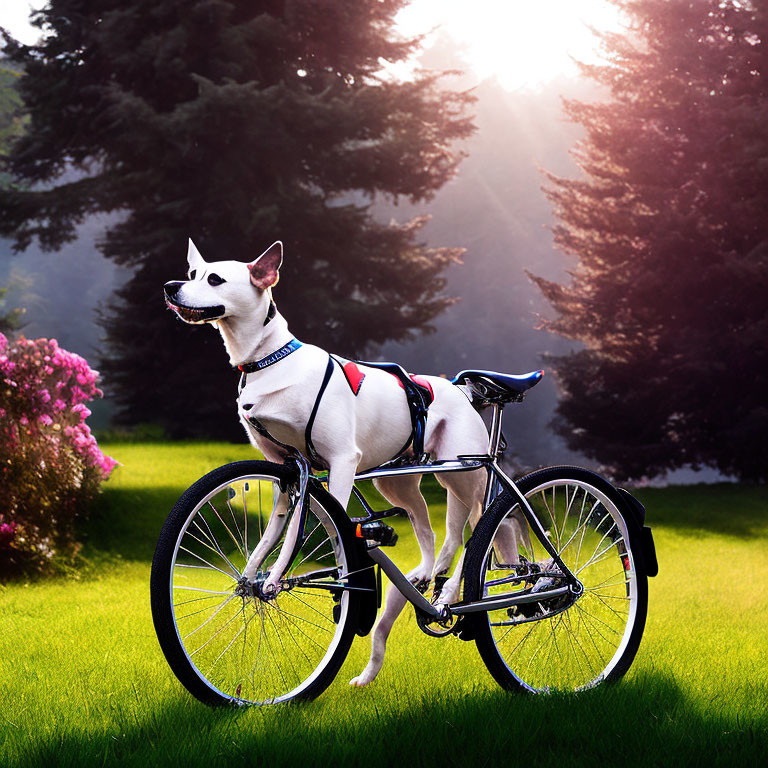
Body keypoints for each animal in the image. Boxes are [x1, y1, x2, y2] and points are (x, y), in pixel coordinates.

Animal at [163, 238, 510, 684]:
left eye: (215, 279)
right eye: (191, 274)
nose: (171, 287)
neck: (268, 359)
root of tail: (461, 392)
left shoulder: (341, 462)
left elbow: (312, 531)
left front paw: (280, 580)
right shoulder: (287, 469)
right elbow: (272, 536)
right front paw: (254, 578)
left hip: (466, 473)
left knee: (478, 530)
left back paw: (452, 592)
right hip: (396, 482)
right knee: (431, 530)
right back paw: (425, 574)